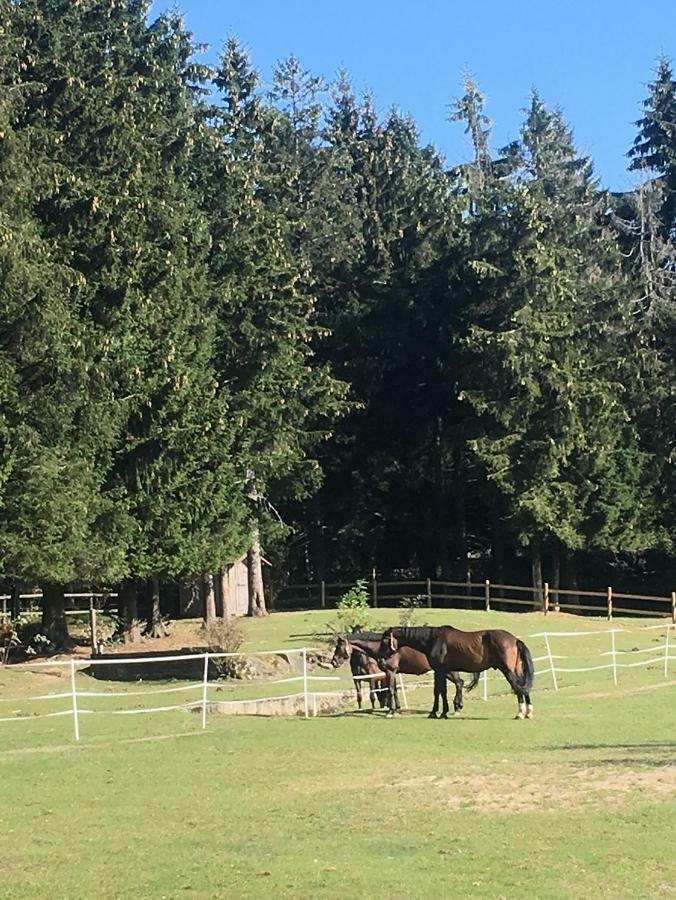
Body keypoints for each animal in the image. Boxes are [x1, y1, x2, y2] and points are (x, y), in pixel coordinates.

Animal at [328, 628, 478, 712]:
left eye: (339, 647)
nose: (333, 661)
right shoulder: (390, 673)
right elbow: (393, 690)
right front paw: (396, 708)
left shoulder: (389, 672)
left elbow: (390, 690)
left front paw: (391, 711)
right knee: (459, 683)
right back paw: (457, 707)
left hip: (448, 671)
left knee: (459, 683)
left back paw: (457, 706)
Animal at [380, 624, 532, 716]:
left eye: (384, 640)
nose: (382, 660)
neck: (434, 639)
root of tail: (515, 640)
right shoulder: (440, 671)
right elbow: (440, 691)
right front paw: (441, 711)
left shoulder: (440, 670)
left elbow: (439, 691)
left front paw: (438, 713)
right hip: (517, 669)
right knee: (523, 687)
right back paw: (528, 712)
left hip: (508, 670)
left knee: (518, 687)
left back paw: (520, 713)